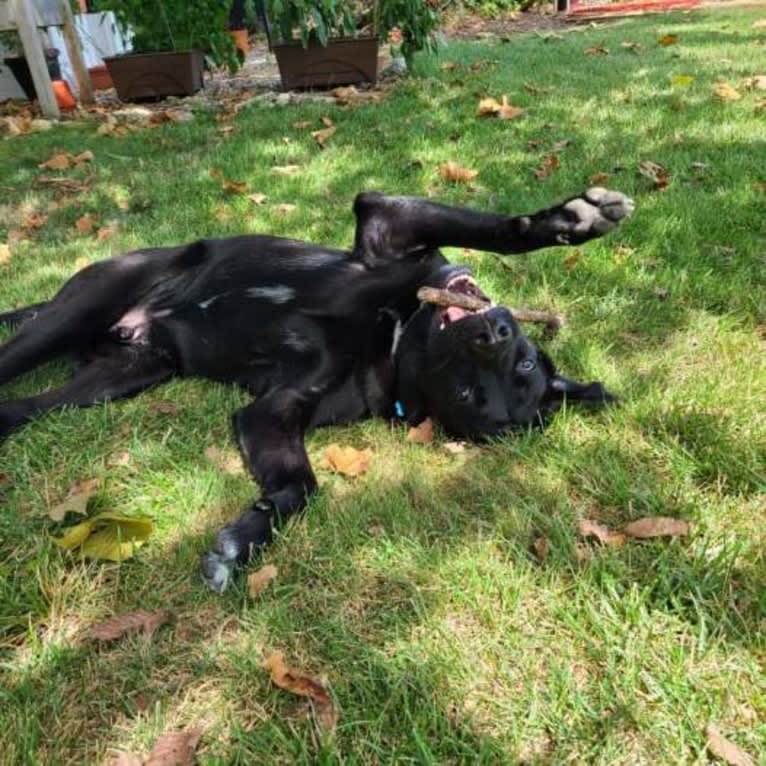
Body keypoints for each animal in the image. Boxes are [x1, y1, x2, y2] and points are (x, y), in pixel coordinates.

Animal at [0, 188, 636, 592]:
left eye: (472, 397)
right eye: (523, 363)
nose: (495, 332)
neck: (393, 336)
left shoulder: (272, 412)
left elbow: (300, 487)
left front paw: (244, 540)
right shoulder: (390, 220)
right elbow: (491, 229)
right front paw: (572, 220)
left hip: (113, 380)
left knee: (20, 407)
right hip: (78, 309)